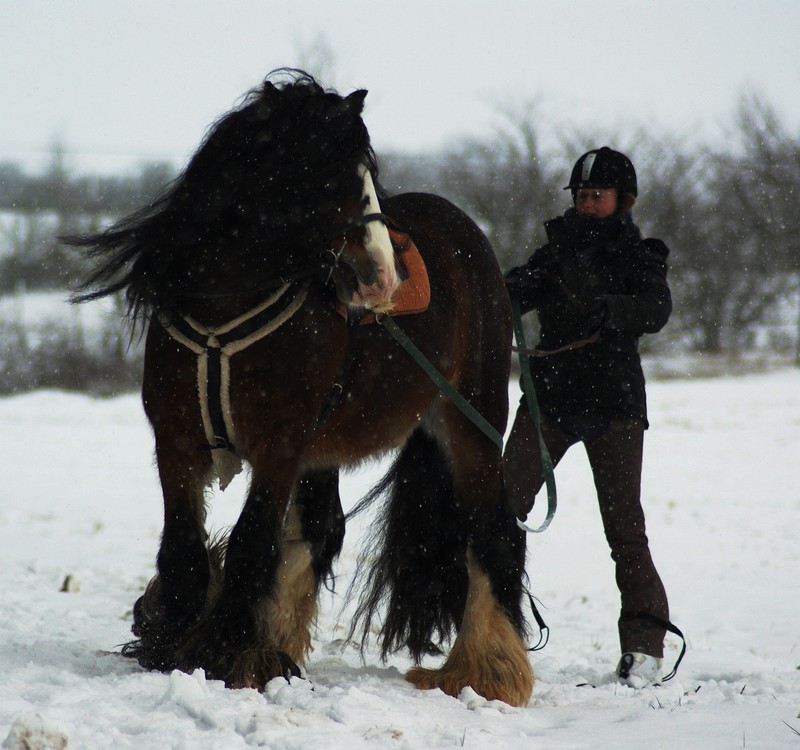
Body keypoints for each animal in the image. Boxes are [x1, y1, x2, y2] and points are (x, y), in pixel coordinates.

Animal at [69, 67, 532, 708]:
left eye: (368, 173)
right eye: (322, 171)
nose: (383, 277)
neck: (223, 308)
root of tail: (473, 237)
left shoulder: (279, 447)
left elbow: (248, 547)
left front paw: (222, 656)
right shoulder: (177, 443)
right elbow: (185, 551)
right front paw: (174, 648)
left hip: (470, 421)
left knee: (492, 533)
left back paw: (487, 672)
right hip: (333, 448)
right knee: (321, 531)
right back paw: (279, 644)